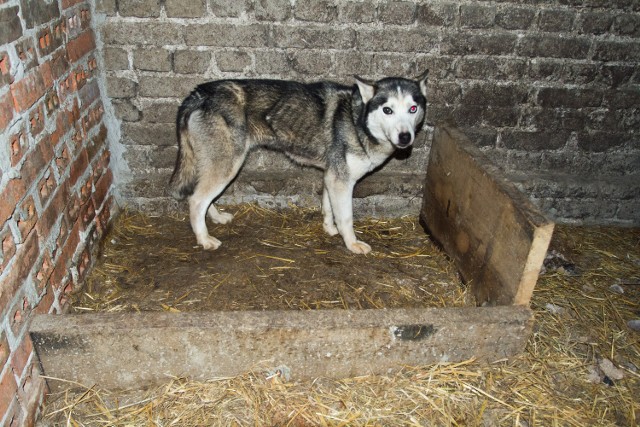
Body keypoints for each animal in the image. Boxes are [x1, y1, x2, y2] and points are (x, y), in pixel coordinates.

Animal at [170, 71, 430, 254]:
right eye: (387, 110)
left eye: (412, 108)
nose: (405, 137)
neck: (358, 122)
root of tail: (198, 93)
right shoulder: (342, 181)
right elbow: (346, 218)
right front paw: (352, 244)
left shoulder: (331, 176)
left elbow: (328, 208)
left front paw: (329, 229)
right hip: (228, 165)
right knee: (196, 201)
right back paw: (204, 239)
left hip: (216, 166)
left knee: (201, 196)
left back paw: (216, 218)